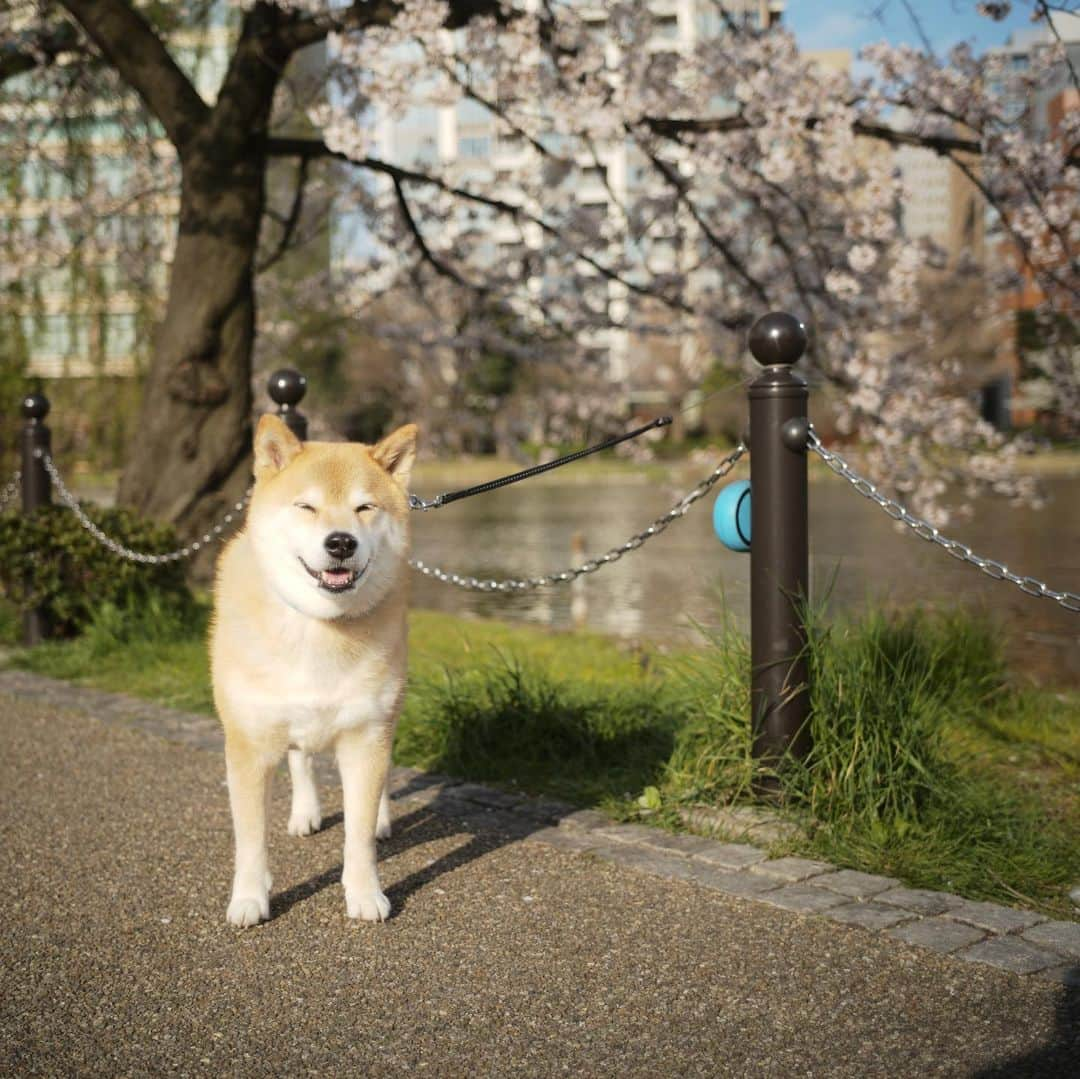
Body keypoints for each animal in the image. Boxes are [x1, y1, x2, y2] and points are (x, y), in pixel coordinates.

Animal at [209, 412, 416, 928]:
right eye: (306, 506)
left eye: (365, 507)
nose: (340, 541)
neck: (320, 628)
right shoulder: (248, 744)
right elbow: (250, 841)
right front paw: (249, 898)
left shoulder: (366, 735)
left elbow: (358, 837)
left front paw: (365, 894)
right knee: (300, 758)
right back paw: (305, 812)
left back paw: (382, 818)